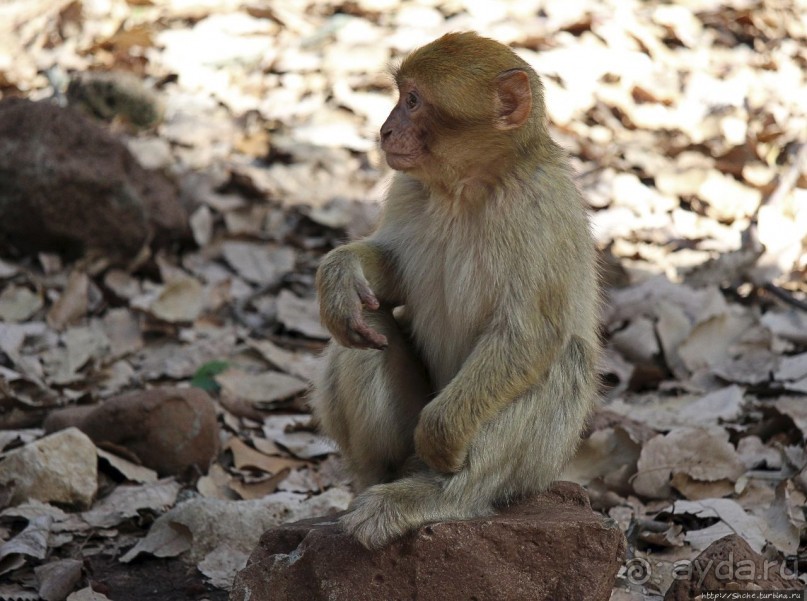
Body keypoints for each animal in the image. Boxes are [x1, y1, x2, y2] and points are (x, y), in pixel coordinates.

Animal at [310, 31, 600, 548]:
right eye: (401, 95)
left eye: (413, 101)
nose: (385, 131)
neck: (467, 189)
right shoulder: (407, 187)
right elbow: (391, 278)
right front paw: (339, 273)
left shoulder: (540, 209)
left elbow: (527, 336)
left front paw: (441, 436)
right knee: (361, 330)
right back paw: (378, 478)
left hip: (540, 468)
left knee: (564, 359)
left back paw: (438, 496)